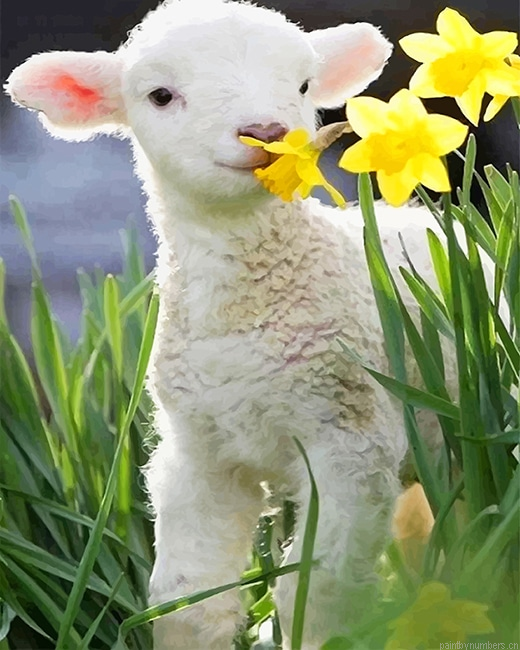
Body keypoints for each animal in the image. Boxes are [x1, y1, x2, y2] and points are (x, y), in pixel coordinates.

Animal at [6, 1, 448, 647]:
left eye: (303, 85)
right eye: (161, 95)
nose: (266, 132)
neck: (244, 318)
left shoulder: (351, 438)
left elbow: (318, 595)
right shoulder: (198, 453)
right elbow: (186, 602)